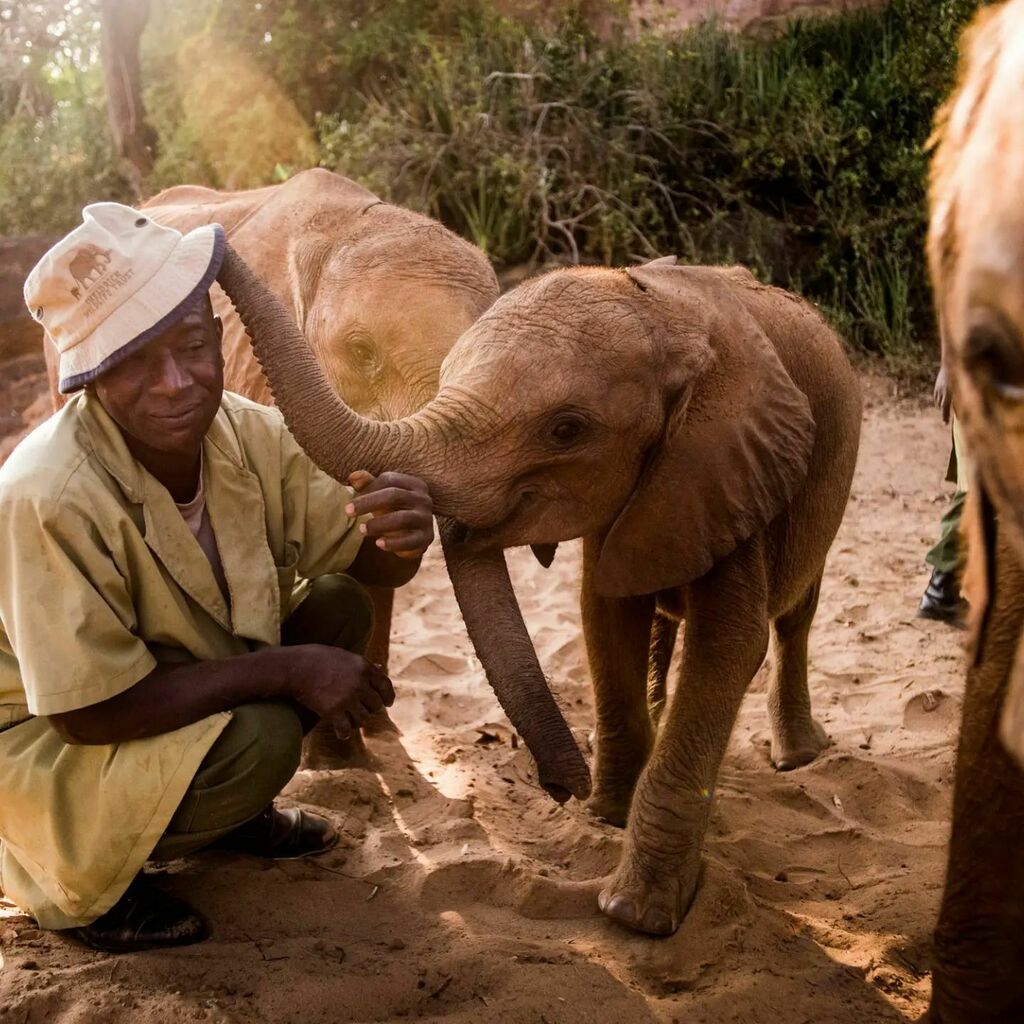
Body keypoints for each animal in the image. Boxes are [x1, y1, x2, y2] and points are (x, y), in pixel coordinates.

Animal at [214, 243, 862, 938]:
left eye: (566, 430)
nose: (558, 788)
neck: (665, 315)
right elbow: (604, 616)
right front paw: (605, 816)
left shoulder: (731, 463)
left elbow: (727, 647)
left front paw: (635, 913)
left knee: (795, 615)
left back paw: (797, 756)